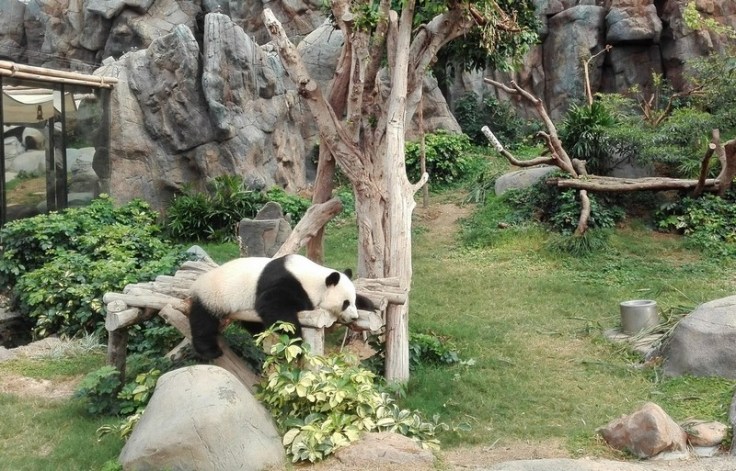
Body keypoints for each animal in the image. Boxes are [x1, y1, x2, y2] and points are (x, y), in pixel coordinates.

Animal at [188, 253, 375, 360]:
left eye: (352, 301)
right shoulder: (288, 282)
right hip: (213, 296)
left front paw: (370, 305)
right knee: (203, 321)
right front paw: (295, 344)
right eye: (345, 303)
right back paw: (210, 350)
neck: (313, 277)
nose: (354, 317)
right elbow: (273, 305)